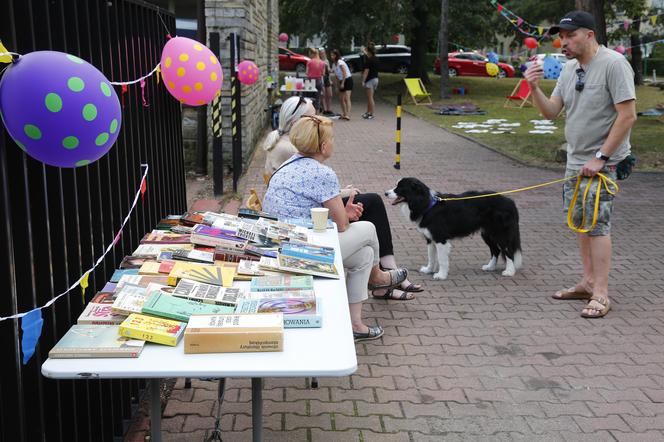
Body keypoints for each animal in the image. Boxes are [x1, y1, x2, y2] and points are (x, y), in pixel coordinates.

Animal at [386, 177, 520, 278]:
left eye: (400, 187)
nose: (385, 193)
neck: (427, 205)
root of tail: (510, 202)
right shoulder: (430, 238)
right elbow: (431, 256)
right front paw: (429, 270)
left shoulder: (440, 238)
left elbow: (441, 259)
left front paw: (441, 275)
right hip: (487, 234)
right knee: (496, 250)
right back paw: (490, 267)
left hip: (500, 233)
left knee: (508, 251)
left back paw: (509, 271)